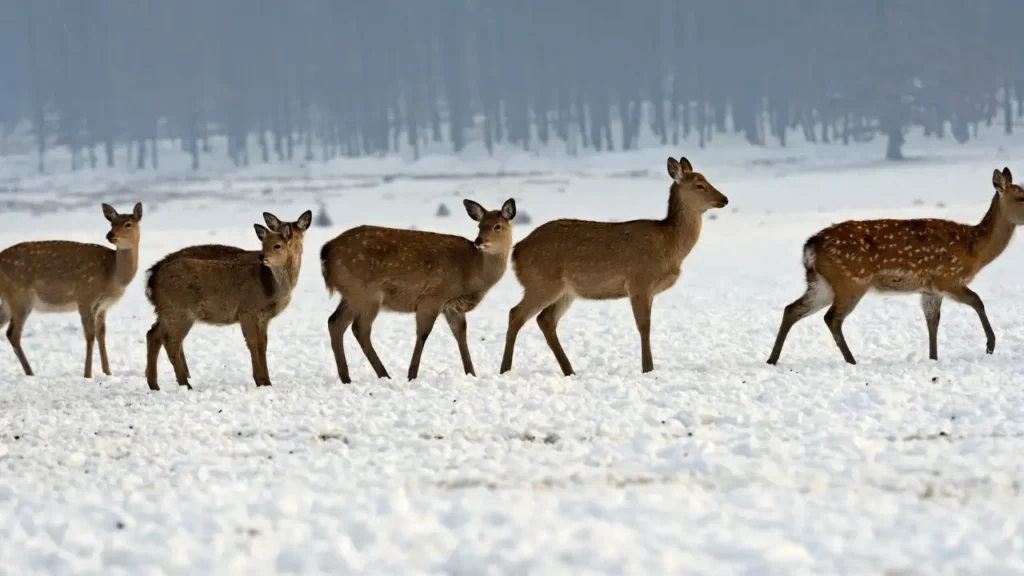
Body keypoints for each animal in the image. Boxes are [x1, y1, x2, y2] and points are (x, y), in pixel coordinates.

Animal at [0, 202, 143, 378]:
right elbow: (90, 336)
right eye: (112, 223)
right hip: (20, 296)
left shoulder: (103, 306)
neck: (113, 275)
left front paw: (108, 373)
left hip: (9, 301)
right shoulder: (85, 296)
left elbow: (101, 335)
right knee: (14, 335)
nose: (110, 235)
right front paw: (88, 374)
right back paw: (30, 372)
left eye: (128, 224)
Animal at [146, 210, 312, 379]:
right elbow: (254, 344)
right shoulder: (248, 312)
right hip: (178, 312)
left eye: (300, 233)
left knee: (153, 333)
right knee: (168, 340)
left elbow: (263, 344)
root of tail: (151, 277)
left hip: (166, 313)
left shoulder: (264, 317)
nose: (262, 256)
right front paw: (262, 379)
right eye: (266, 242)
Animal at [320, 198, 517, 384]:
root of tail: (326, 252)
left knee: (335, 322)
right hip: (366, 293)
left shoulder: (452, 306)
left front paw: (471, 373)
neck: (472, 274)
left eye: (497, 226)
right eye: (480, 225)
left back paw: (346, 378)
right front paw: (412, 375)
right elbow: (423, 333)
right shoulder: (433, 297)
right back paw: (384, 375)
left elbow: (460, 335)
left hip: (350, 294)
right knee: (359, 328)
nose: (479, 241)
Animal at [500, 156, 728, 376]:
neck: (670, 246)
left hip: (565, 291)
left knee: (545, 320)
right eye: (700, 185)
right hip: (541, 283)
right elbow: (644, 327)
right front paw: (648, 369)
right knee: (515, 314)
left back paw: (569, 370)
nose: (724, 199)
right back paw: (505, 369)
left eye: (707, 180)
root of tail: (516, 252)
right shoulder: (639, 282)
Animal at [767, 167, 1024, 366]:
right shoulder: (947, 277)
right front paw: (990, 345)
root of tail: (809, 247)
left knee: (792, 309)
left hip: (822, 284)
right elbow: (978, 301)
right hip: (850, 281)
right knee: (831, 318)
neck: (975, 249)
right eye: (1021, 197)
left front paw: (933, 358)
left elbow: (932, 322)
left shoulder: (930, 290)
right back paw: (851, 360)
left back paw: (772, 359)